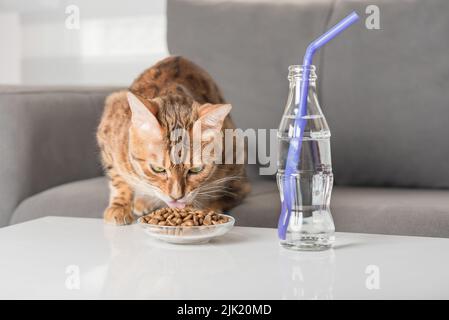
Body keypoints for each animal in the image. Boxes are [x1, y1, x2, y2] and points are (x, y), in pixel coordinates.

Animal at [96, 55, 250, 225]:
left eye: (196, 170)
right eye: (158, 169)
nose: (177, 197)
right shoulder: (108, 126)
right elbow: (118, 178)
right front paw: (120, 206)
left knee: (239, 190)